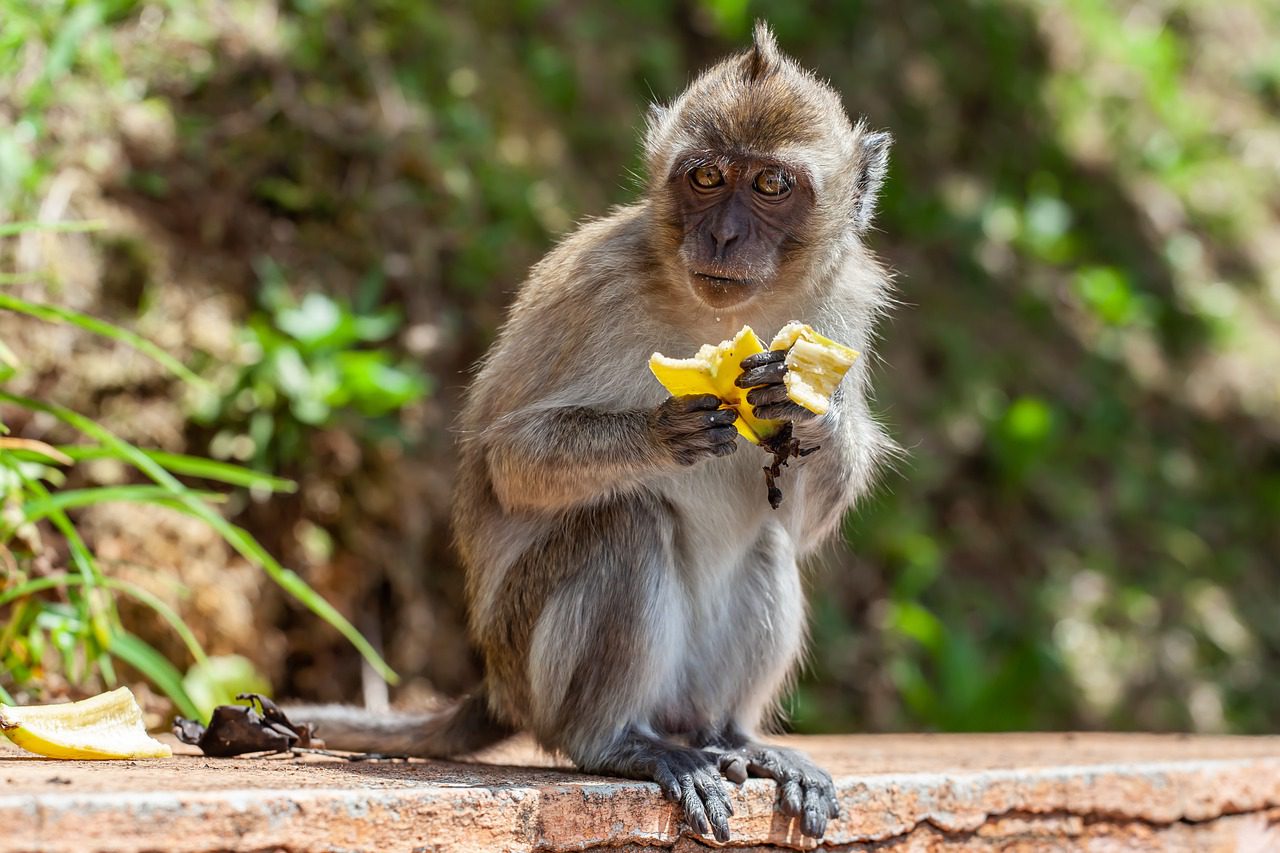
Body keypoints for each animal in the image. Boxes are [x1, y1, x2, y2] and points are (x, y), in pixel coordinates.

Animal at [293, 23, 890, 840]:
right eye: (707, 177)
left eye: (771, 185)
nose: (724, 234)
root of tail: (500, 684)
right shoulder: (596, 285)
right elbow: (508, 459)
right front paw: (662, 433)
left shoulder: (845, 303)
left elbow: (802, 523)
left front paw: (802, 408)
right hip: (531, 660)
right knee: (625, 522)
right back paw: (615, 742)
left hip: (680, 689)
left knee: (766, 549)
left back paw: (734, 739)